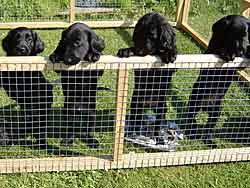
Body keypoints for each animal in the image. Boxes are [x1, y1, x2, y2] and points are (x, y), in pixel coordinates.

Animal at [116, 12, 177, 141]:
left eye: (151, 36)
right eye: (138, 34)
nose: (139, 50)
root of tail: (149, 104)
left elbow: (170, 51)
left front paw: (169, 53)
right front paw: (127, 50)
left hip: (161, 107)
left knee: (158, 123)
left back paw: (157, 135)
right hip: (136, 104)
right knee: (136, 120)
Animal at [186, 15, 250, 147]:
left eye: (249, 35)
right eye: (236, 34)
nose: (244, 49)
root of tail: (206, 106)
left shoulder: (239, 65)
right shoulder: (210, 51)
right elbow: (218, 50)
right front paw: (225, 52)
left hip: (217, 110)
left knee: (208, 128)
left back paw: (209, 140)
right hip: (195, 100)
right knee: (189, 118)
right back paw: (191, 131)